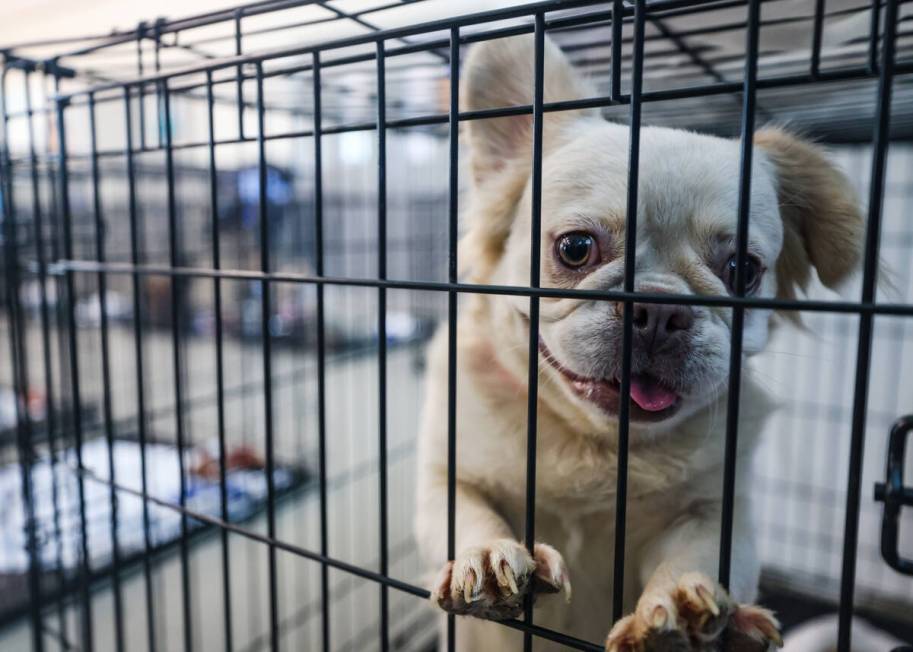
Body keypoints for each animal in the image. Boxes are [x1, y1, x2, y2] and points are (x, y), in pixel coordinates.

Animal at [414, 34, 864, 652]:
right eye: (575, 248)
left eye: (742, 271)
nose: (659, 308)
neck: (597, 443)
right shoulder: (447, 474)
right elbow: (464, 510)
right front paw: (485, 558)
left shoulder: (716, 512)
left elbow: (696, 552)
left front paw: (680, 606)